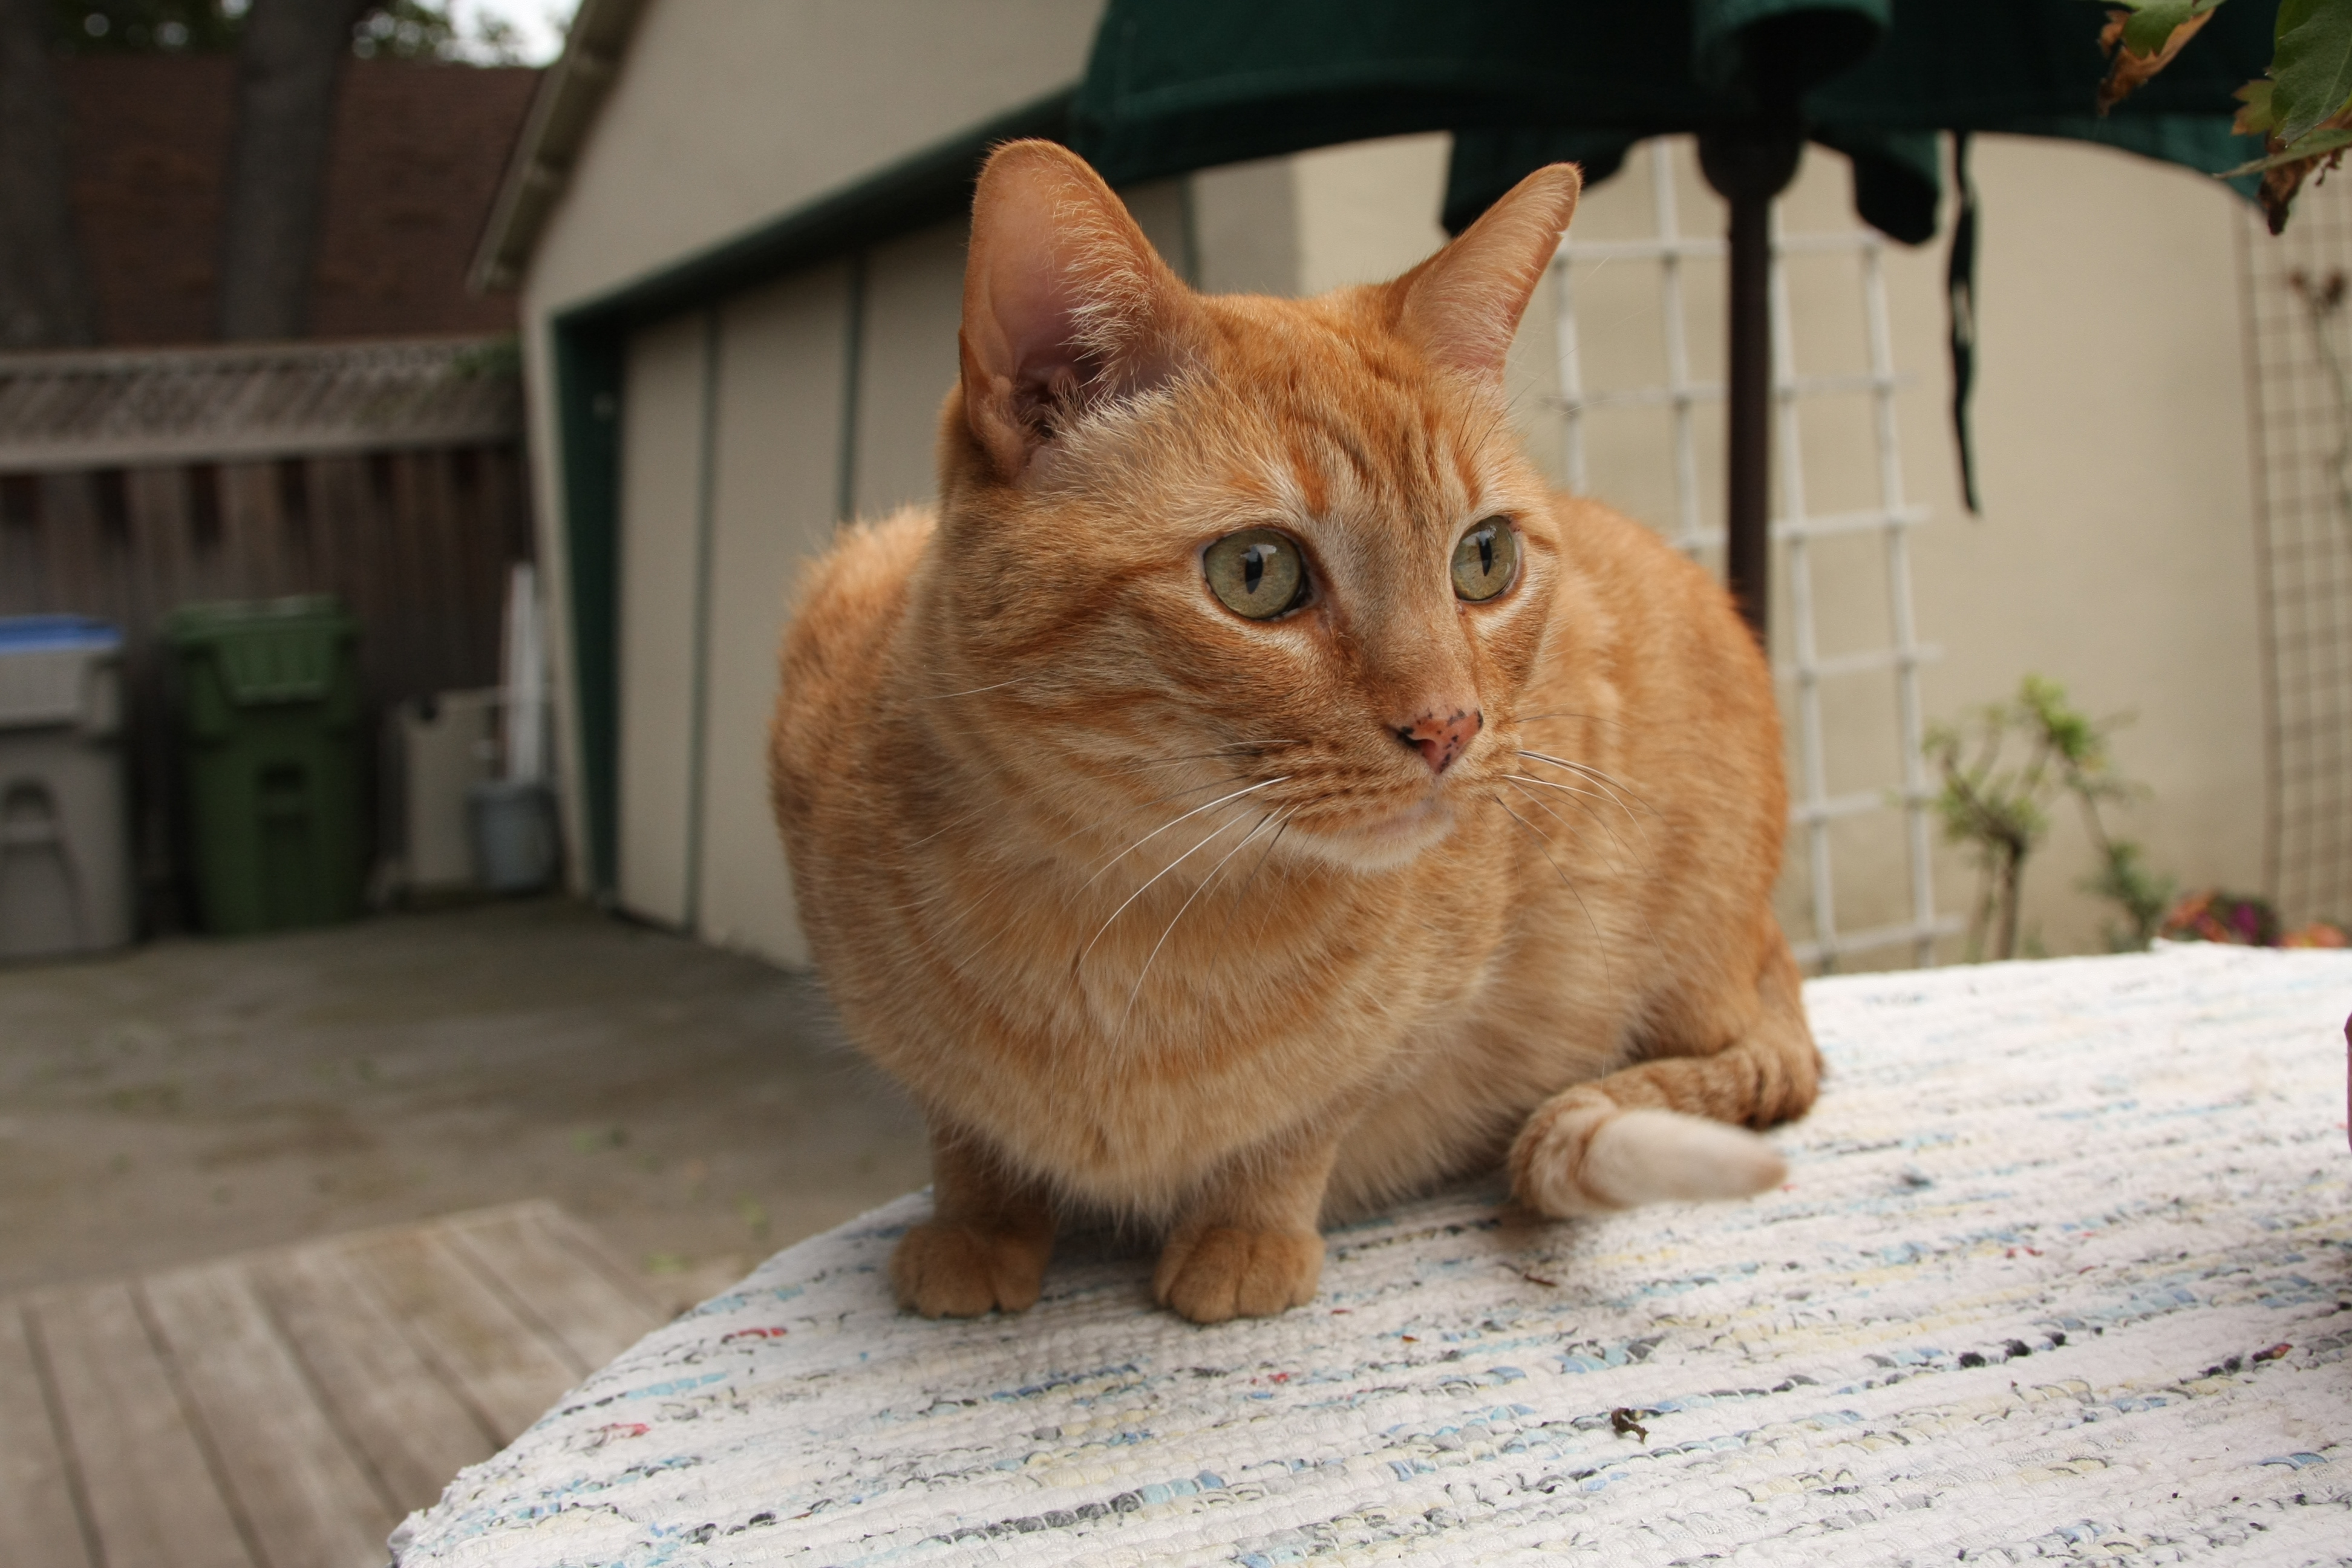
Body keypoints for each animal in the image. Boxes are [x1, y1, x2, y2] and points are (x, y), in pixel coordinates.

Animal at [771, 144, 1815, 1325]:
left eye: (1484, 559)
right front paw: (977, 1225)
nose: (1450, 725)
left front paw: (1243, 1235)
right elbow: (961, 1126)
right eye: (1256, 572)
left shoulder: (1421, 1011)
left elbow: (1303, 1123)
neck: (1123, 917)